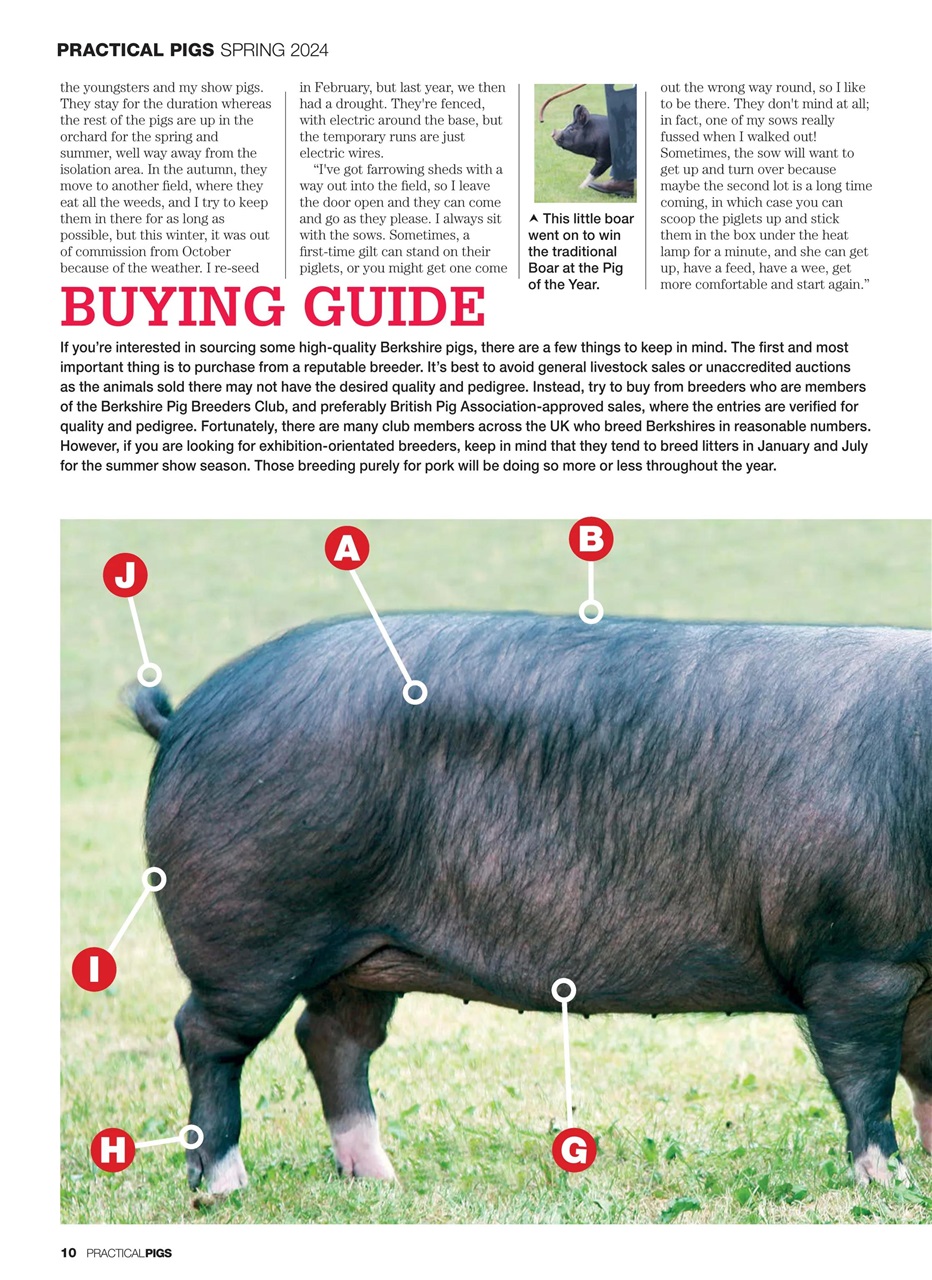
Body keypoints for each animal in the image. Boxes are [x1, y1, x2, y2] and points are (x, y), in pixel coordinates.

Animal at [129, 613, 932, 1194]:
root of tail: (188, 714)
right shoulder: (857, 957)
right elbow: (864, 1074)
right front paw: (887, 1186)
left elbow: (922, 1069)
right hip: (251, 928)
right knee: (208, 1035)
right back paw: (225, 1187)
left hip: (362, 955)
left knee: (330, 1040)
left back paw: (380, 1182)